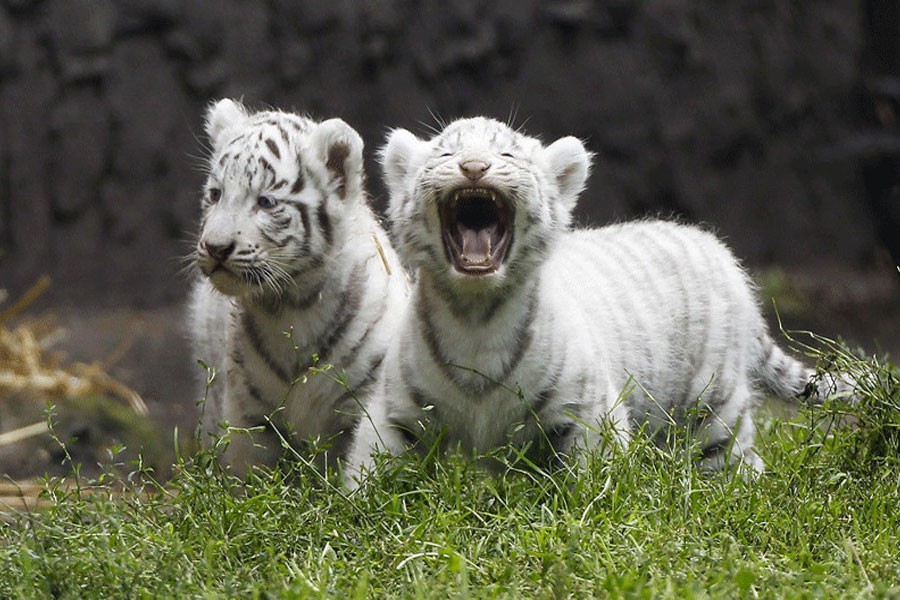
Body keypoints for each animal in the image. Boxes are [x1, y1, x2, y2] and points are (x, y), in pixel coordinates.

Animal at [188, 99, 408, 476]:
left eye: (265, 202)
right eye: (216, 195)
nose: (215, 248)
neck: (292, 305)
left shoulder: (368, 397)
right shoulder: (250, 416)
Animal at [344, 116, 850, 487]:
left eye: (506, 154)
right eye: (447, 153)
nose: (473, 167)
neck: (476, 316)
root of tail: (720, 253)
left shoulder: (583, 410)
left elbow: (590, 480)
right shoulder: (398, 411)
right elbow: (371, 468)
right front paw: (359, 520)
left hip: (712, 407)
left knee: (733, 460)